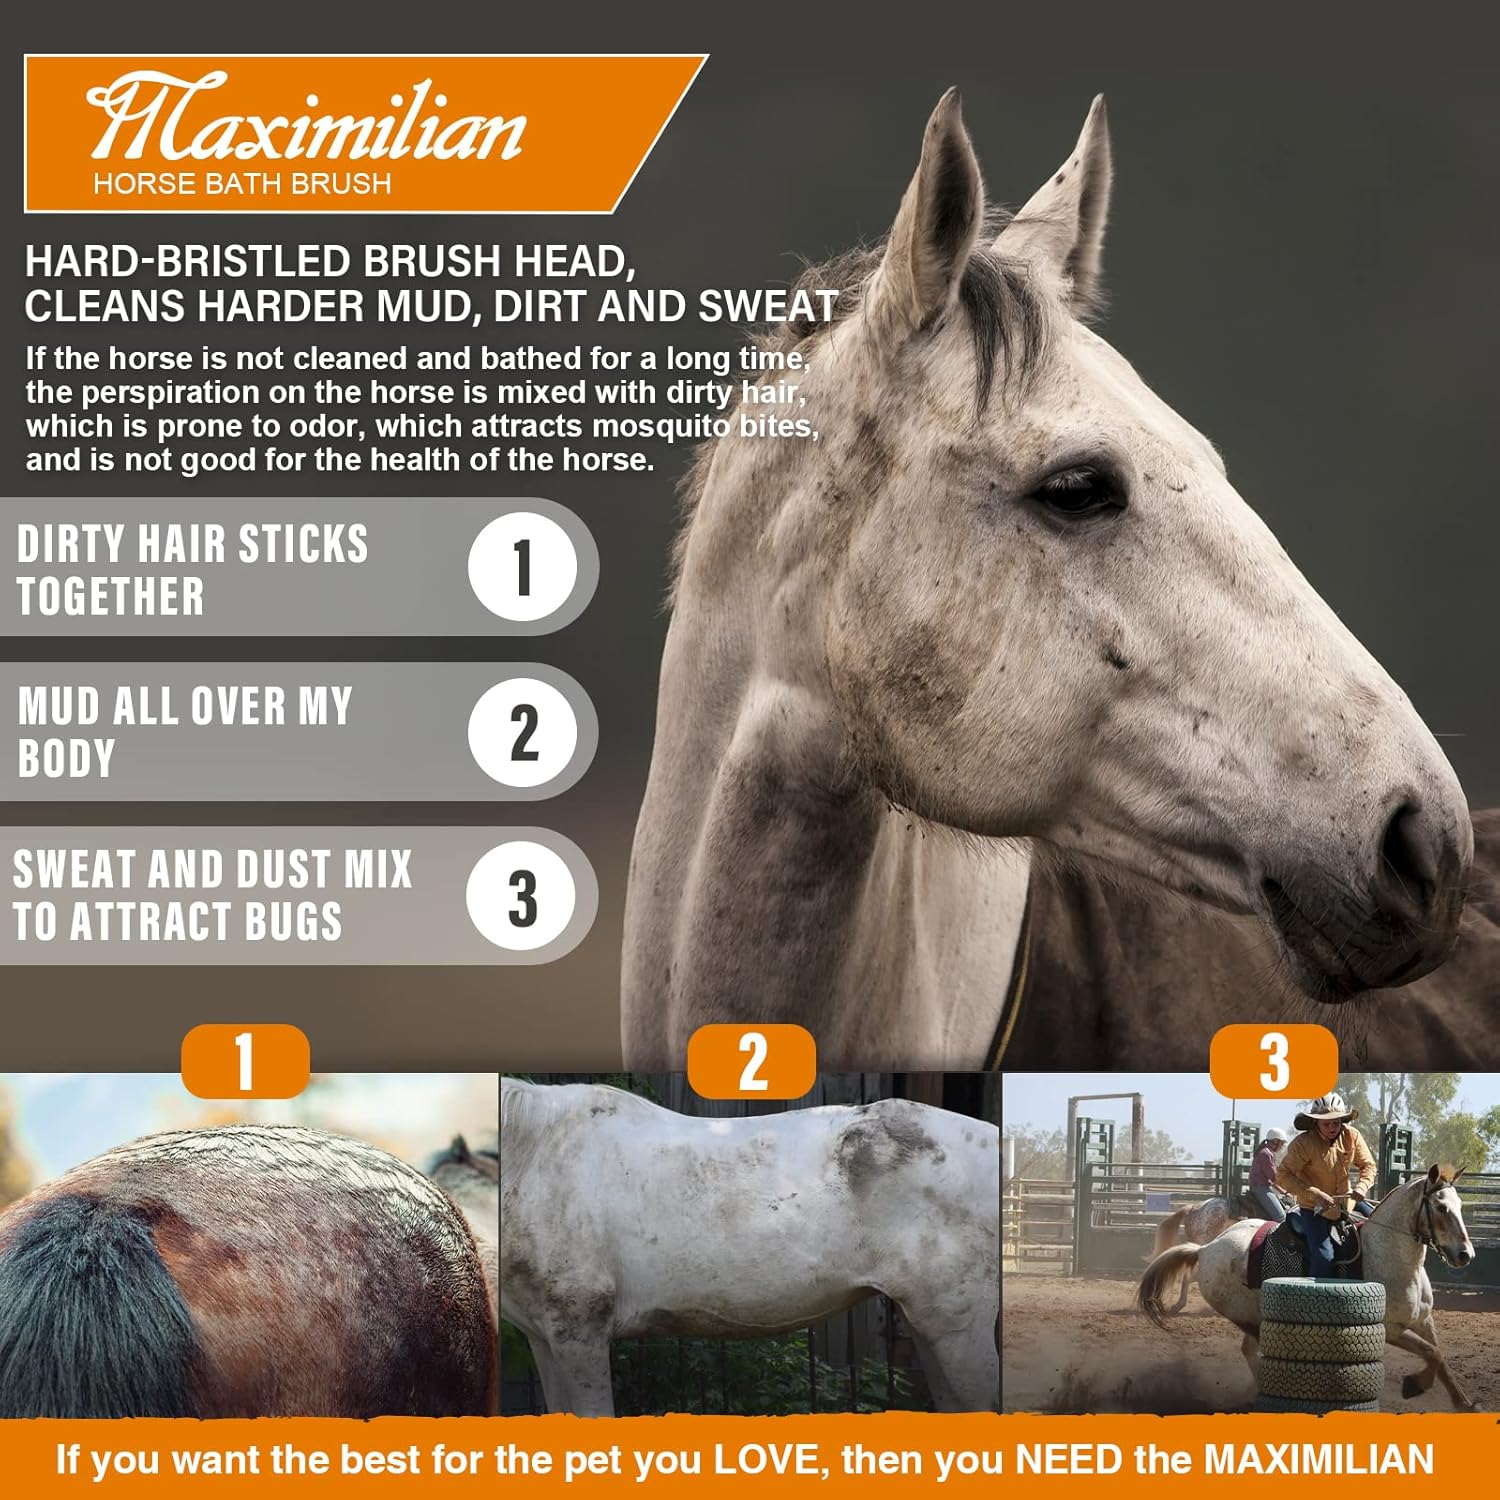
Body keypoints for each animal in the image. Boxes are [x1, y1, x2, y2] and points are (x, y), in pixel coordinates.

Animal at [1137, 1165, 1478, 1409]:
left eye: (1460, 1204)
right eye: (1441, 1207)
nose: (1465, 1254)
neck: (1393, 1257)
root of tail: (1206, 1250)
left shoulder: (1424, 1320)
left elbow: (1439, 1356)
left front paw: (1463, 1402)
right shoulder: (1391, 1328)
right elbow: (1432, 1353)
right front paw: (1415, 1386)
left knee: (1249, 1349)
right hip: (1248, 1316)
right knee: (1253, 1350)